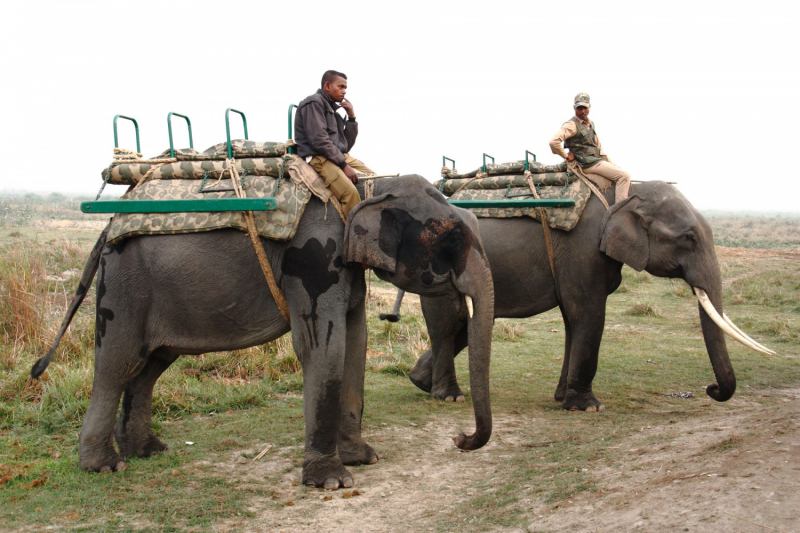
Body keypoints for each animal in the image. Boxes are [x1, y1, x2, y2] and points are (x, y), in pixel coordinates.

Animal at [34, 174, 494, 486]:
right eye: (452, 236)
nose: (458, 439)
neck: (365, 187)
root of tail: (106, 226)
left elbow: (355, 343)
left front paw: (363, 459)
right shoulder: (312, 256)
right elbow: (322, 347)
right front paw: (332, 480)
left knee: (151, 364)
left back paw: (147, 451)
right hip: (124, 285)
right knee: (117, 361)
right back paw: (105, 465)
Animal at [410, 181, 772, 410]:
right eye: (688, 238)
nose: (711, 390)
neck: (626, 192)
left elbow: (573, 320)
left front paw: (563, 399)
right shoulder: (582, 248)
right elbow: (588, 313)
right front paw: (587, 407)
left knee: (463, 325)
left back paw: (421, 382)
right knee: (447, 325)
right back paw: (449, 397)